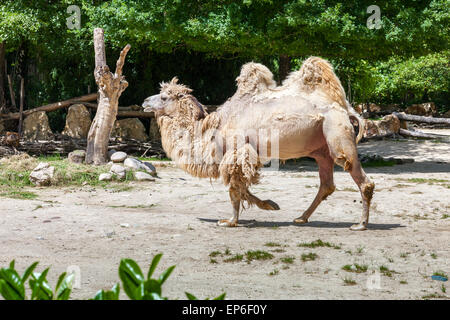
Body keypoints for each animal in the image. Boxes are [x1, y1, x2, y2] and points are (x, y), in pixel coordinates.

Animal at [142, 57, 374, 231]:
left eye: (164, 97)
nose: (144, 102)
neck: (212, 128)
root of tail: (347, 109)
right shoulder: (240, 155)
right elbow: (241, 187)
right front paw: (270, 205)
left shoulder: (236, 152)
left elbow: (234, 189)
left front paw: (230, 221)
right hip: (321, 149)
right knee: (326, 183)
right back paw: (301, 217)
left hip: (337, 135)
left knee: (362, 179)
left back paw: (360, 224)